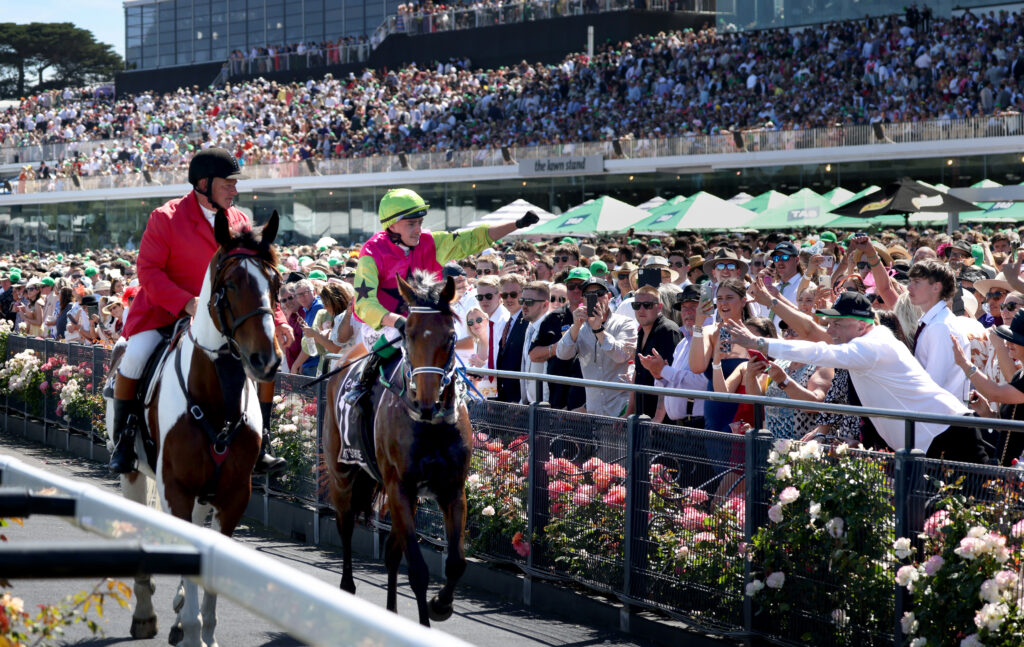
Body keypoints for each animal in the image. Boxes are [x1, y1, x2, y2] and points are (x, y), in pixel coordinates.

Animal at [104, 209, 280, 642]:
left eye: (276, 283)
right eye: (230, 285)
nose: (265, 360)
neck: (217, 399)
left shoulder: (233, 495)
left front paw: (203, 631)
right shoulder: (176, 488)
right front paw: (190, 626)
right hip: (133, 475)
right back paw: (146, 614)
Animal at [323, 272, 475, 626]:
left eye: (451, 337)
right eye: (409, 335)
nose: (427, 402)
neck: (430, 426)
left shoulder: (451, 489)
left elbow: (455, 562)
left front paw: (441, 605)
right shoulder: (399, 487)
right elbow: (418, 570)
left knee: (392, 550)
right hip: (342, 474)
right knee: (345, 525)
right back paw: (347, 588)